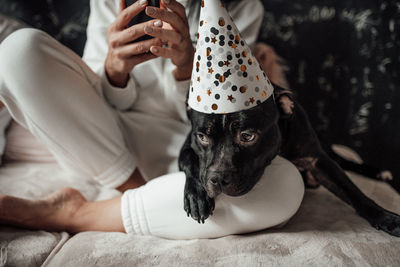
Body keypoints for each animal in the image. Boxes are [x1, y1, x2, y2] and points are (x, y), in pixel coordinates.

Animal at [179, 82, 400, 238]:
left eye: (248, 136)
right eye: (202, 137)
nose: (217, 179)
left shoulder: (317, 159)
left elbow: (352, 190)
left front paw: (386, 217)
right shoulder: (187, 148)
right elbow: (191, 162)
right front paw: (197, 196)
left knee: (343, 161)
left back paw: (380, 172)